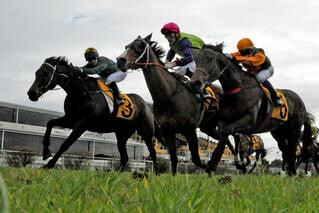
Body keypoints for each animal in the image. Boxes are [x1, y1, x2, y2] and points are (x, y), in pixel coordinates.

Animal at [26, 57, 164, 175]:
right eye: (36, 73)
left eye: (45, 73)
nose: (31, 93)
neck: (81, 93)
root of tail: (148, 108)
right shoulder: (70, 120)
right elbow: (50, 123)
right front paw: (46, 152)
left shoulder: (82, 124)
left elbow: (65, 144)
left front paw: (49, 164)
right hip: (122, 135)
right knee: (125, 157)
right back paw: (114, 174)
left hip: (146, 133)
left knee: (153, 152)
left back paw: (156, 173)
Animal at [116, 34, 236, 175]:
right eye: (126, 46)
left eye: (140, 46)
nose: (120, 61)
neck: (168, 95)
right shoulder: (167, 130)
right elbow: (173, 158)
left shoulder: (190, 130)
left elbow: (196, 160)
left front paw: (210, 169)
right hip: (208, 127)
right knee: (225, 139)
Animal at [192, 44, 316, 176]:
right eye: (196, 59)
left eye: (210, 59)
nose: (195, 83)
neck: (239, 89)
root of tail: (301, 103)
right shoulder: (223, 121)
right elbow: (224, 139)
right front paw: (212, 166)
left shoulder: (248, 121)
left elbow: (228, 132)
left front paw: (233, 164)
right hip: (279, 132)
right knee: (286, 151)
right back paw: (287, 172)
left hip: (294, 130)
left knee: (292, 150)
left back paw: (292, 172)